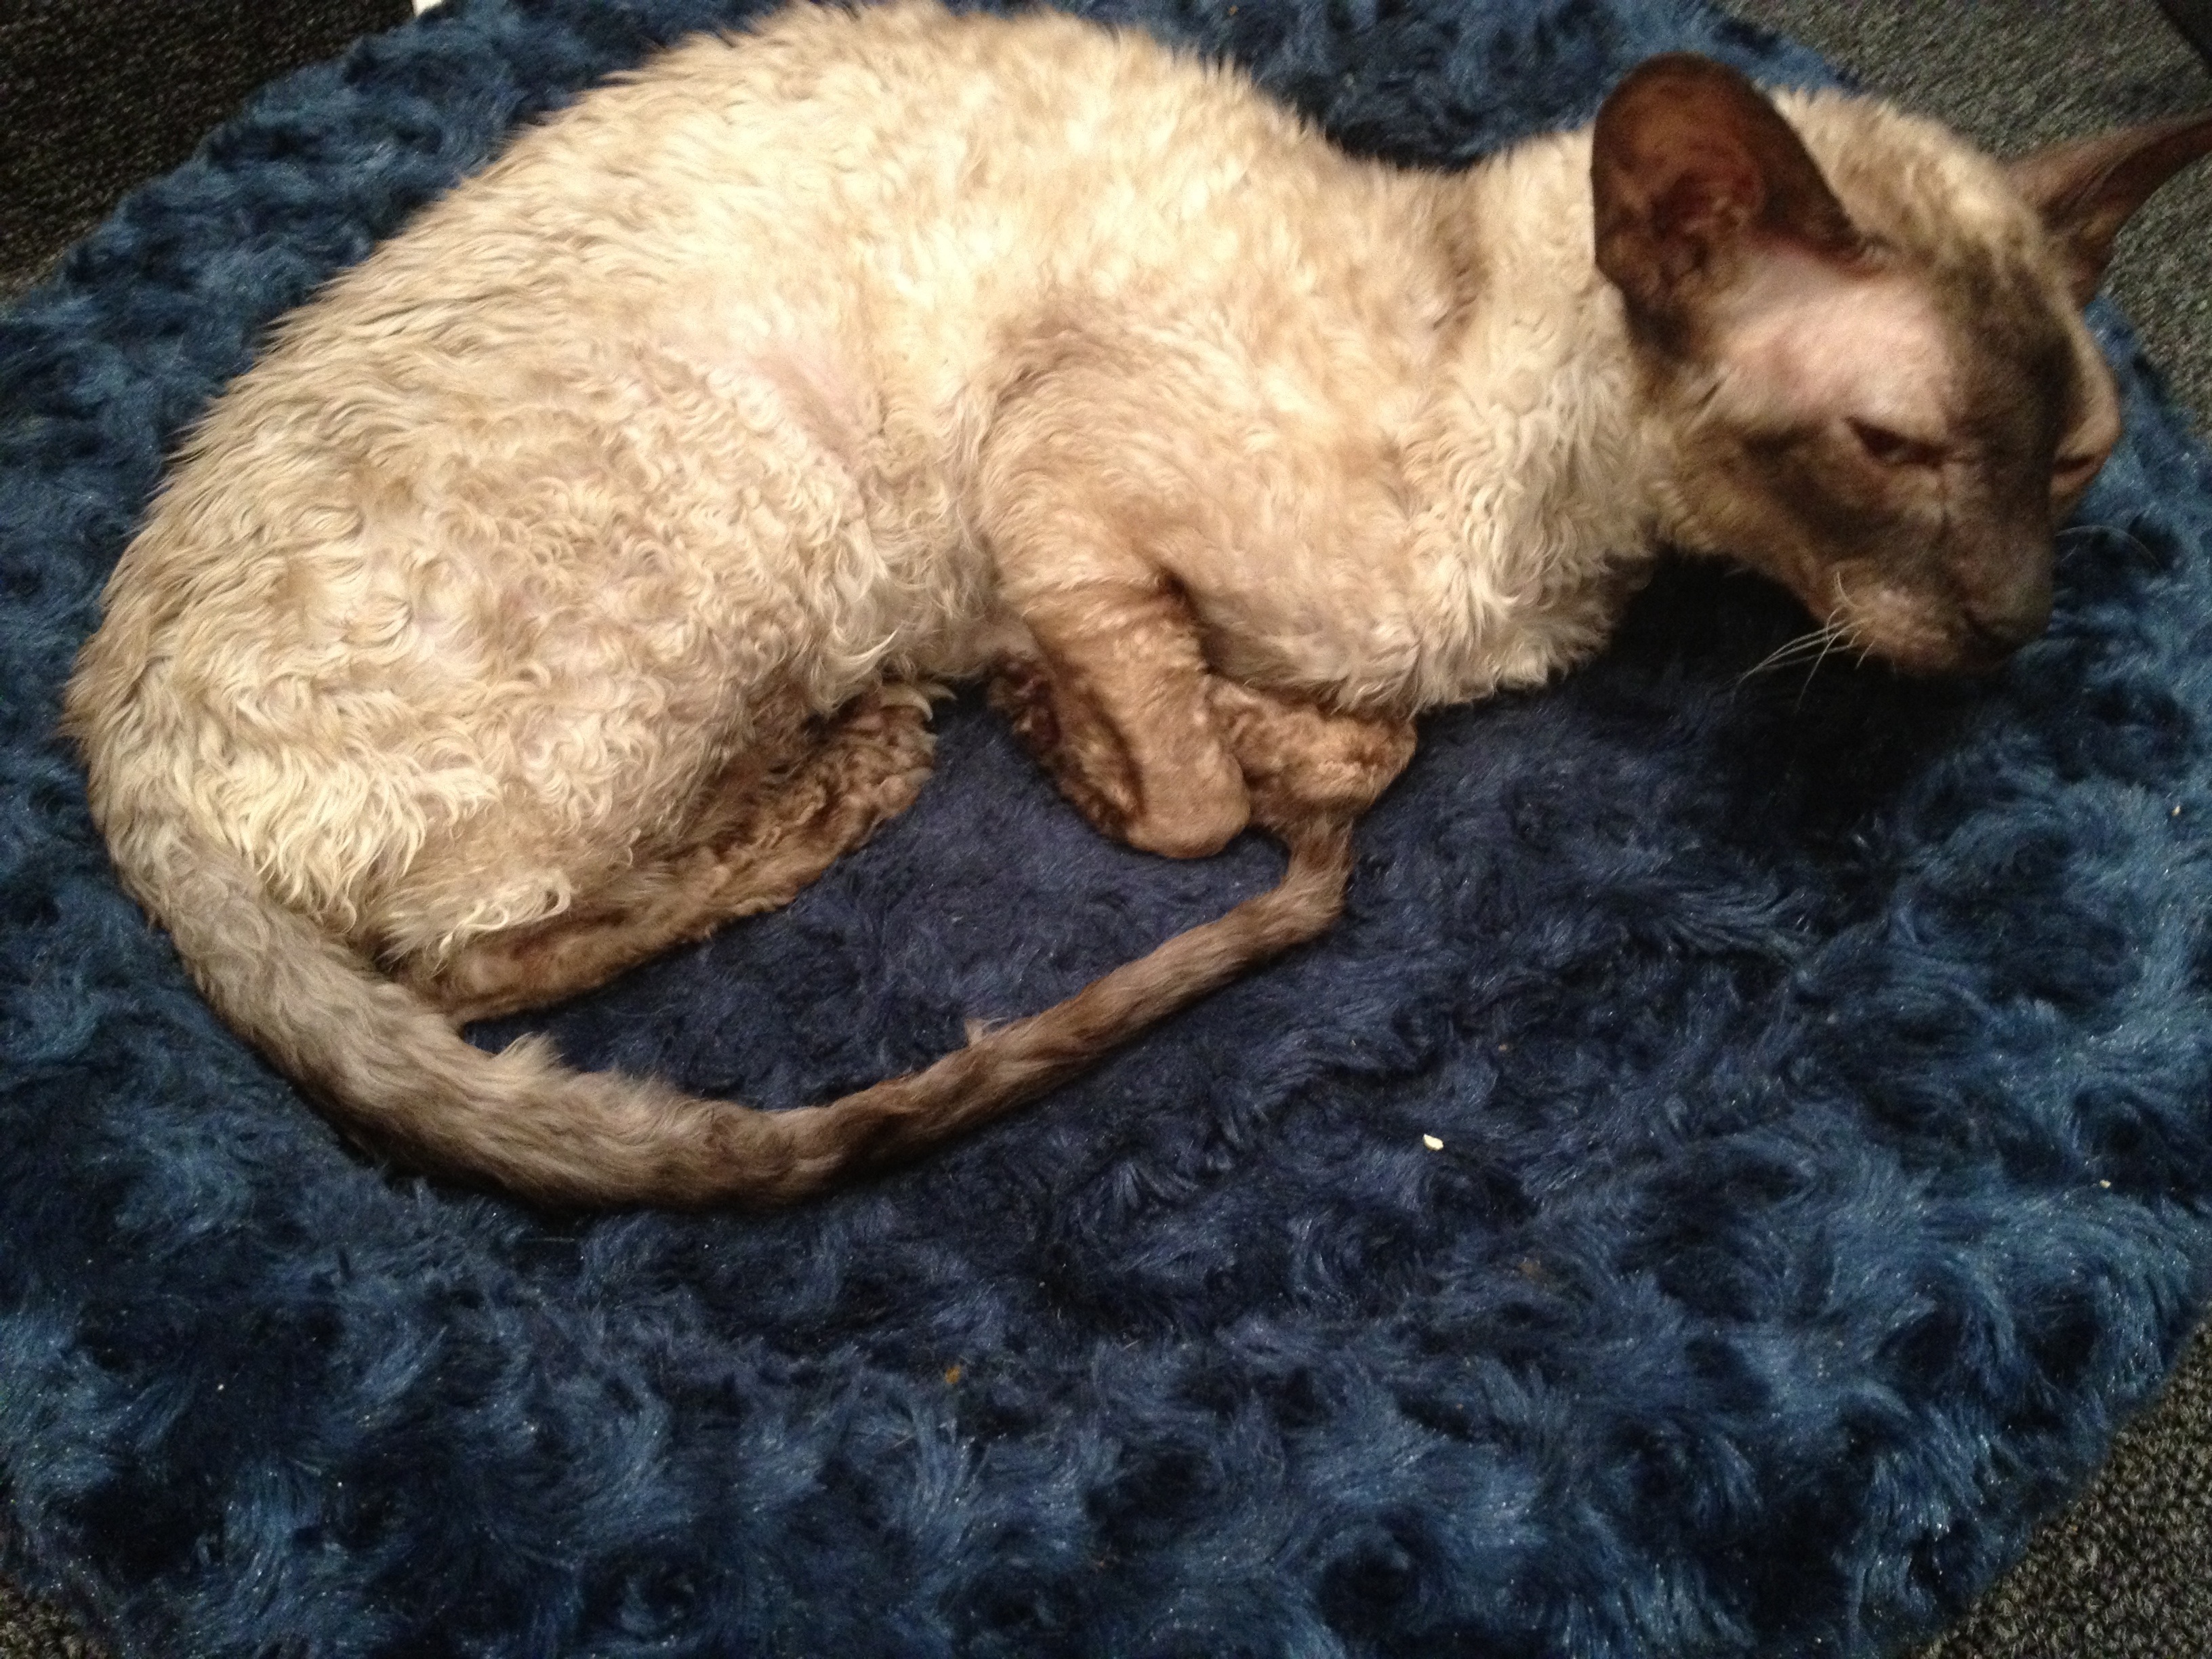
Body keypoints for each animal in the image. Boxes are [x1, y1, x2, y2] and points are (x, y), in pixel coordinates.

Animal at [62, 0, 2212, 1207]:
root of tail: (107, 726)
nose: (2017, 624)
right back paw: (845, 775)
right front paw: (1105, 738)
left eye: (2080, 461)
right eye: (1897, 448)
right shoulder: (1059, 483)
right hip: (723, 545)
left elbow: (1342, 744)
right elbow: (1189, 795)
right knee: (473, 961)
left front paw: (1276, 735)